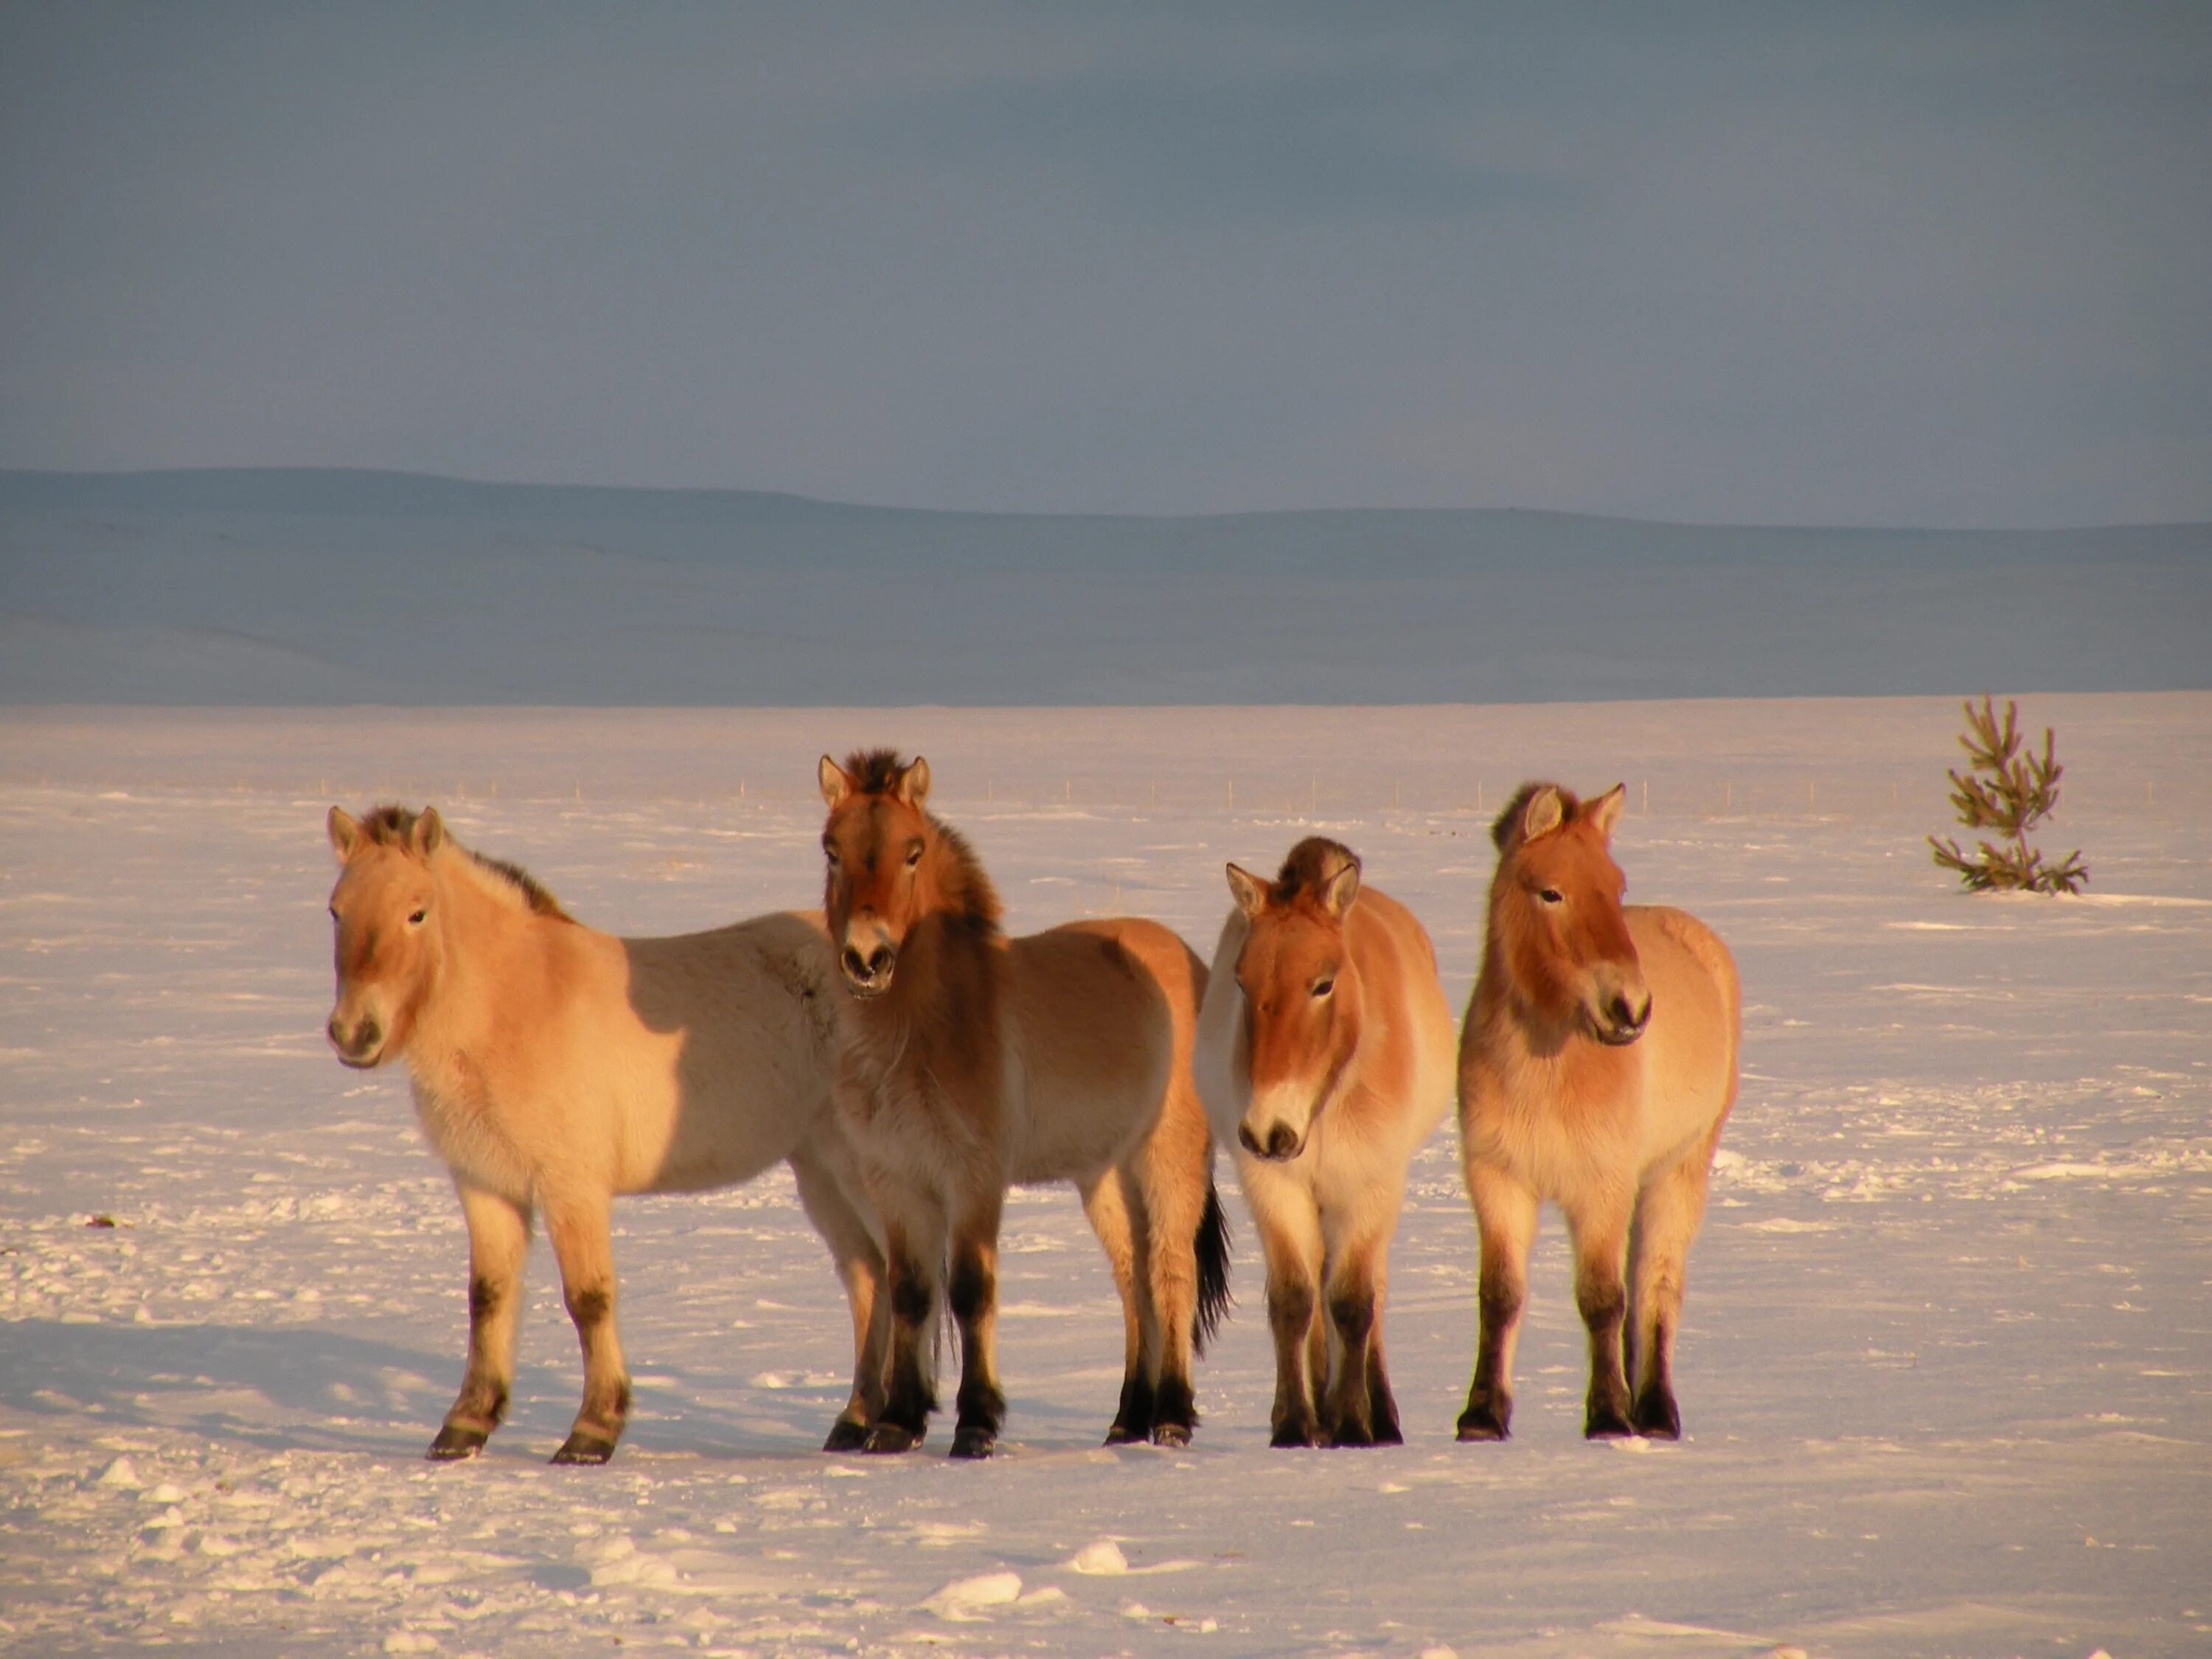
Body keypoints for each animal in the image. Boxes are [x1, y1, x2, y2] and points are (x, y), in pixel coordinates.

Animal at [323, 805, 889, 1469]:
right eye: (336, 911)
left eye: (418, 912)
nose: (353, 1033)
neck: (515, 1006)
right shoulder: (485, 1185)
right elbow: (488, 1296)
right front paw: (464, 1426)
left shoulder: (573, 1188)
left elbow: (588, 1299)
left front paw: (592, 1432)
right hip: (820, 1170)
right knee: (868, 1276)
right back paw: (855, 1422)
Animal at [818, 761, 1239, 1460]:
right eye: (831, 850)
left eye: (913, 852)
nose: (866, 959)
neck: (925, 1030)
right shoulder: (897, 1179)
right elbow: (910, 1292)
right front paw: (898, 1423)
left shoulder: (975, 1179)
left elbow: (968, 1290)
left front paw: (975, 1426)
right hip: (1104, 1177)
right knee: (1134, 1282)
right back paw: (1128, 1421)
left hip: (1167, 1160)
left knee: (1171, 1271)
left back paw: (1173, 1419)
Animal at [1203, 836, 1460, 1451]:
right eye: (1242, 983)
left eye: (1323, 984)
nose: (1267, 1130)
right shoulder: (1272, 1185)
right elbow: (1295, 1300)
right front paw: (1296, 1423)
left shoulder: (1369, 1185)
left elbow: (1352, 1303)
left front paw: (1351, 1422)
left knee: (1370, 1294)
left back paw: (1380, 1415)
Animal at [1460, 787, 1734, 1451]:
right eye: (1550, 893)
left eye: (1615, 886)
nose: (1629, 1008)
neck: (1543, 1072)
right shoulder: (1497, 1182)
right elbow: (1500, 1296)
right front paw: (1482, 1415)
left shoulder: (1600, 1188)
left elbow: (1603, 1299)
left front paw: (1609, 1415)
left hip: (1675, 1176)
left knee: (1656, 1285)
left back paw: (1654, 1412)